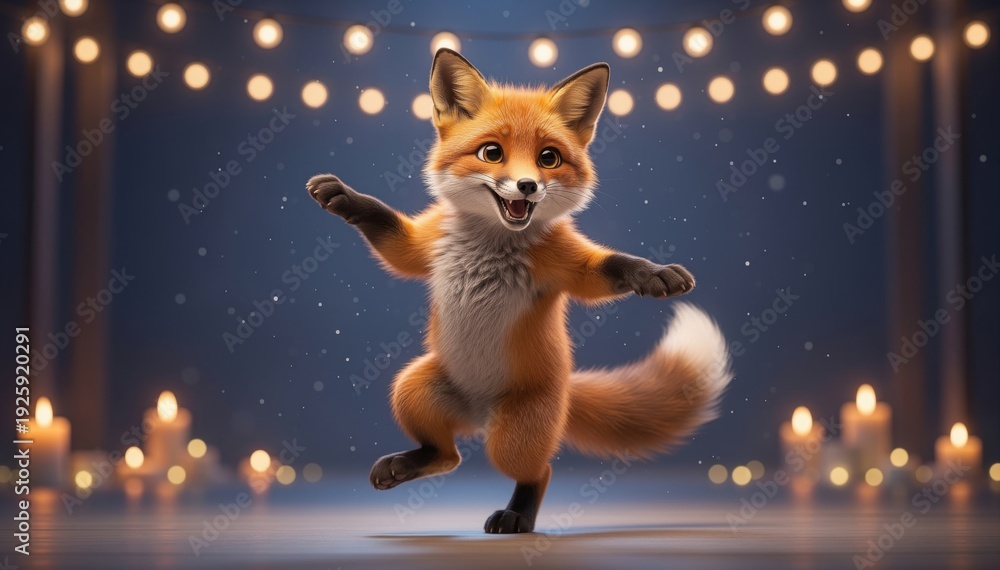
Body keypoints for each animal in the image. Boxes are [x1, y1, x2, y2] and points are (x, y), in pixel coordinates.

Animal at [307, 49, 733, 534]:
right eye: (492, 153)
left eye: (549, 158)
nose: (527, 186)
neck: (491, 245)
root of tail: (479, 417)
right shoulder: (427, 245)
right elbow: (391, 235)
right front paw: (345, 197)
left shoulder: (565, 262)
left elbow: (609, 267)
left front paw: (654, 273)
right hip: (412, 389)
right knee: (448, 456)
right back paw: (409, 463)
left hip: (515, 434)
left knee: (537, 469)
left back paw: (517, 516)